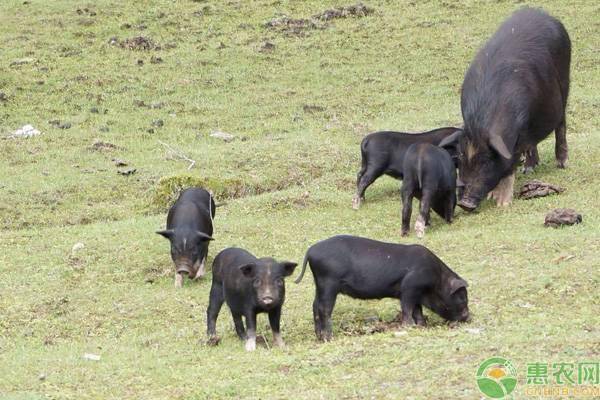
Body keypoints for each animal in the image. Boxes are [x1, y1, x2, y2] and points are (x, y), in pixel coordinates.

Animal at [296, 236, 468, 342]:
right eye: (462, 297)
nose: (468, 317)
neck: (437, 279)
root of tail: (310, 250)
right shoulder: (409, 288)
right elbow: (407, 308)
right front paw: (410, 326)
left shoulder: (416, 294)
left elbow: (417, 310)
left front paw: (422, 325)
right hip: (328, 283)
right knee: (323, 308)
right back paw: (329, 338)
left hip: (320, 284)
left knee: (314, 305)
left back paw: (320, 338)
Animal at [450, 7, 572, 211]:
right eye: (460, 158)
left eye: (486, 162)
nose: (464, 203)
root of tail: (542, 13)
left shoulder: (518, 136)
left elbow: (510, 164)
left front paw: (502, 203)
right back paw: (529, 169)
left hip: (565, 81)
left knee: (561, 124)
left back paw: (562, 163)